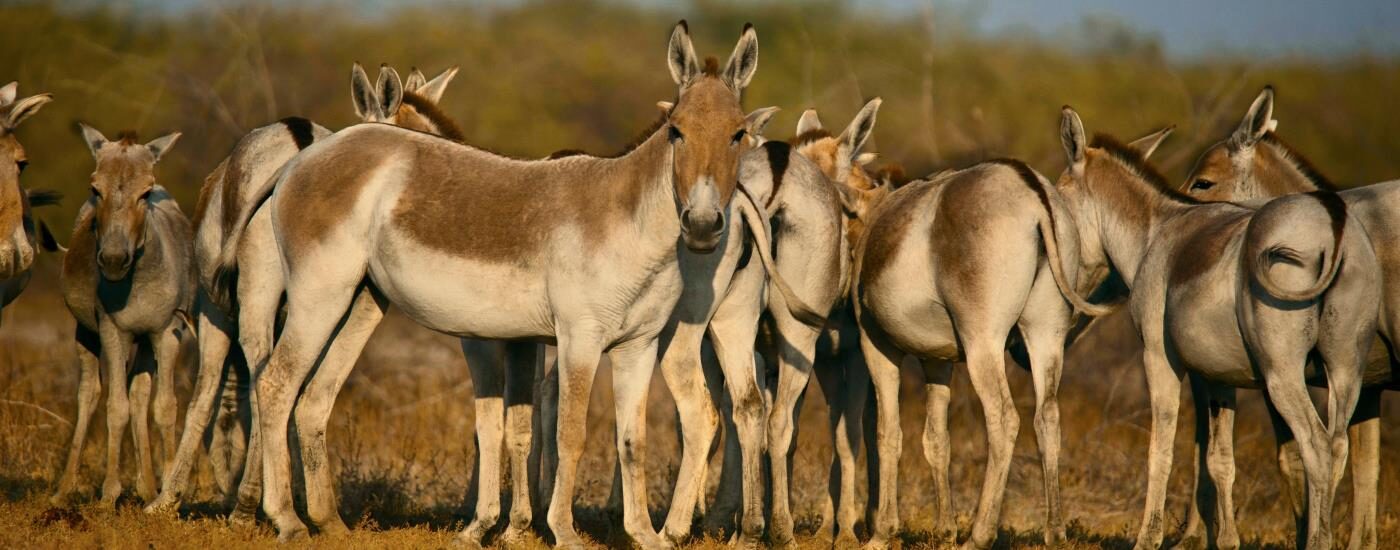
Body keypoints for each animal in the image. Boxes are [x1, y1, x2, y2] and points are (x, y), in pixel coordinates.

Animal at [54, 126, 194, 503]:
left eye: (145, 192)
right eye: (95, 188)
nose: (114, 261)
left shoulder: (167, 332)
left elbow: (164, 407)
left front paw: (168, 492)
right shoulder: (112, 331)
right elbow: (115, 408)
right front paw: (109, 494)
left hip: (144, 339)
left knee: (139, 394)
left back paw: (147, 486)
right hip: (85, 333)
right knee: (90, 394)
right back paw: (64, 488)